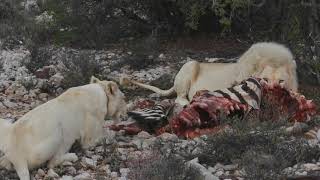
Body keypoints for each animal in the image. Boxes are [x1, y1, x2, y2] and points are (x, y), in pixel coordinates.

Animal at [121, 41, 298, 105]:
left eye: (281, 81)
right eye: (264, 79)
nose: (273, 91)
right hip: (190, 64)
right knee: (179, 97)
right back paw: (187, 102)